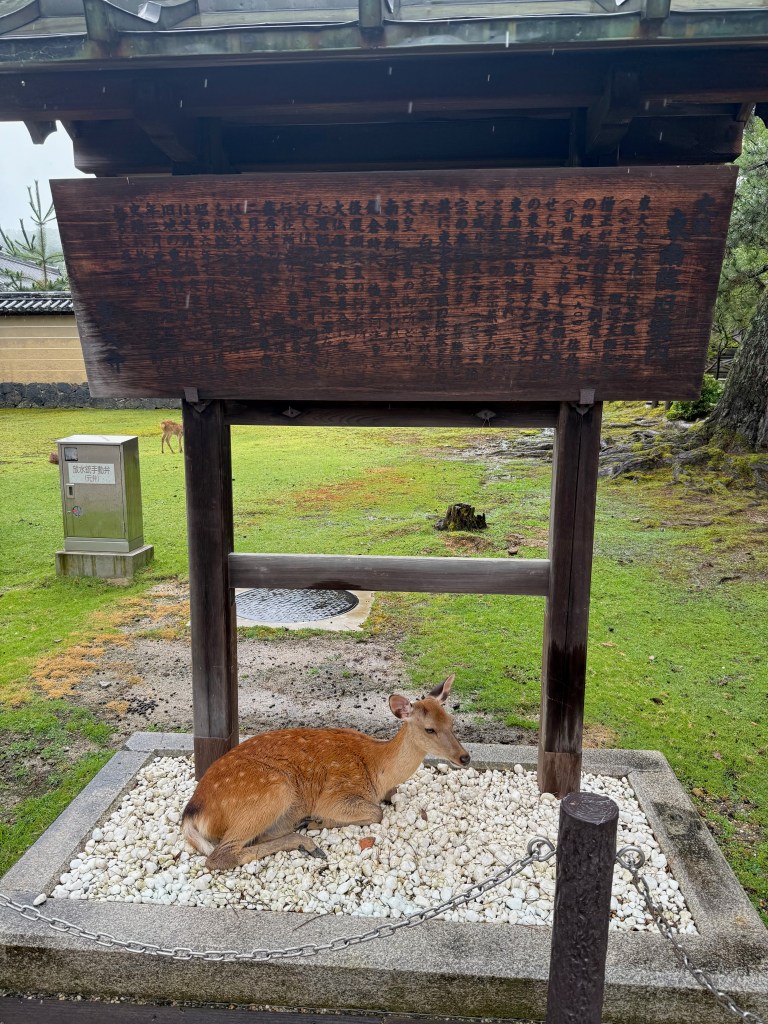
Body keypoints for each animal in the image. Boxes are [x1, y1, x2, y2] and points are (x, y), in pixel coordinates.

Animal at [182, 674, 469, 870]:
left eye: (452, 721)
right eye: (429, 729)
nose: (464, 757)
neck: (377, 769)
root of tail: (193, 812)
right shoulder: (336, 793)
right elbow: (376, 813)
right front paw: (319, 820)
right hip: (273, 790)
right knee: (220, 855)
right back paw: (307, 839)